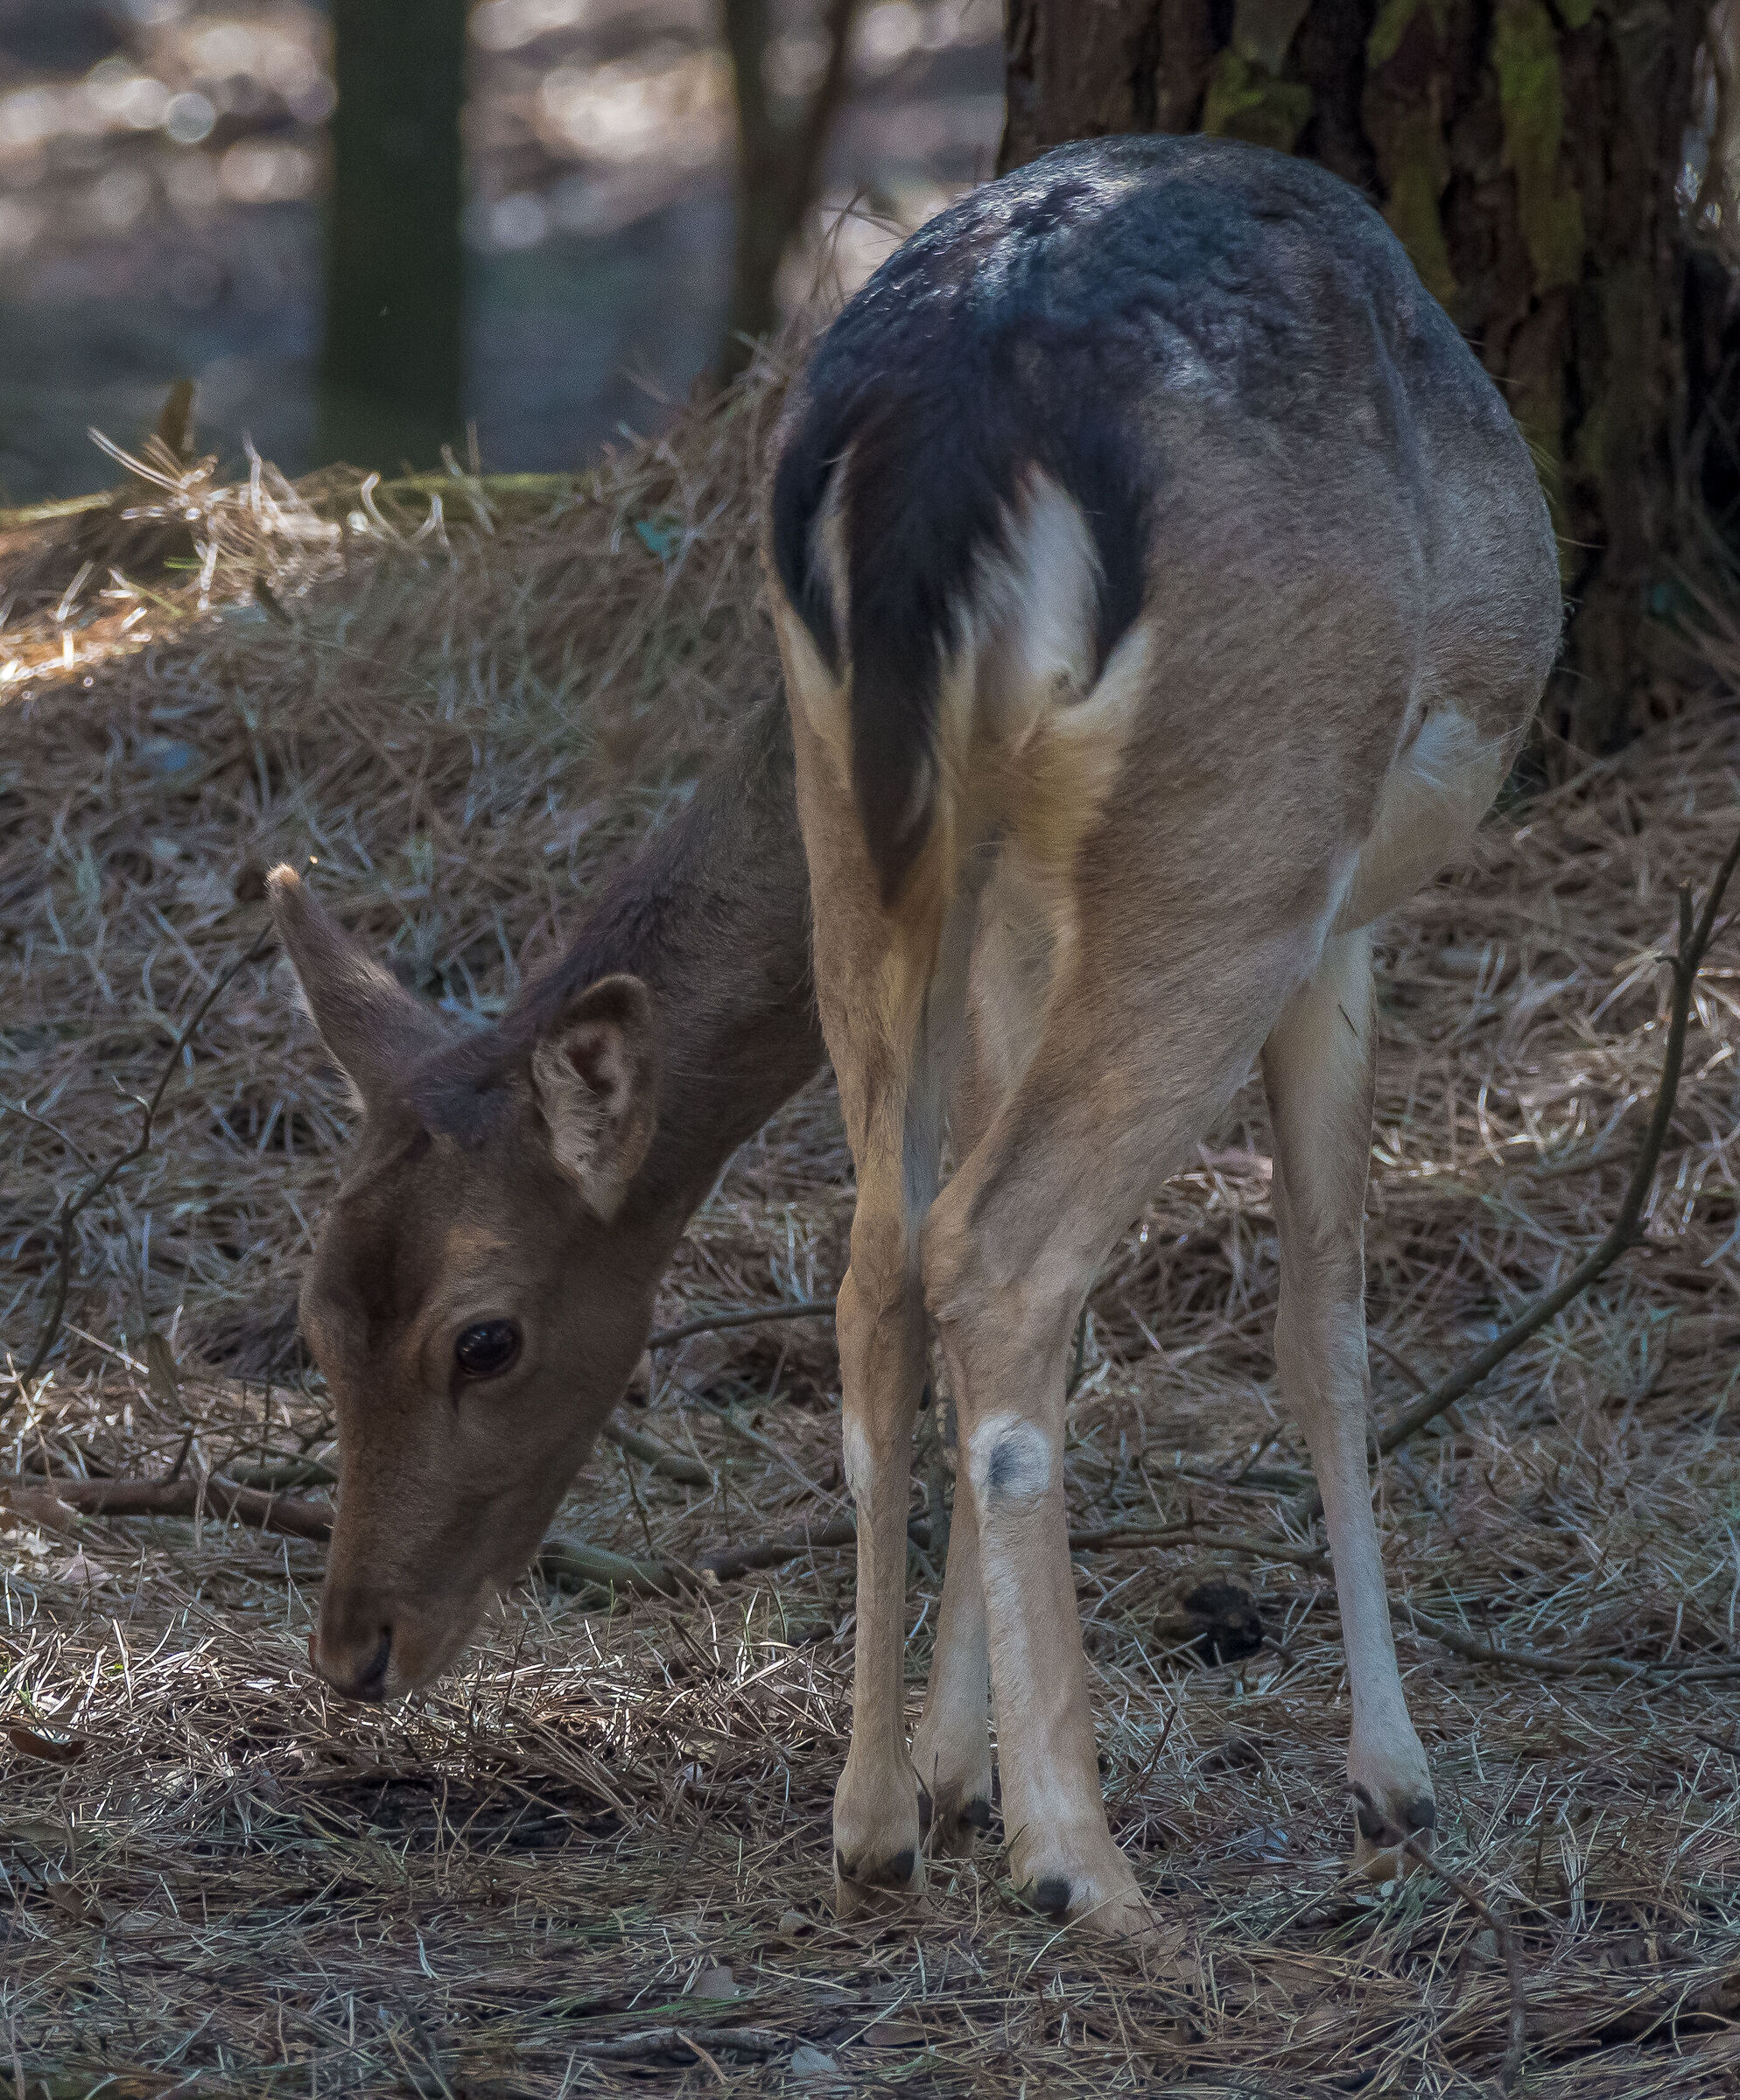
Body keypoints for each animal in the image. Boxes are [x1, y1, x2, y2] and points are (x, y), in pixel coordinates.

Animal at [762, 132, 1559, 1938]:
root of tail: (949, 426)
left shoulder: (1011, 912)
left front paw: (955, 1765)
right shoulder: (1340, 929)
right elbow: (1325, 1323)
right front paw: (1393, 1782)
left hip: (855, 818)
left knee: (884, 1254)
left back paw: (874, 1819)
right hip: (1239, 836)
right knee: (998, 1246)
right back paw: (1084, 1864)